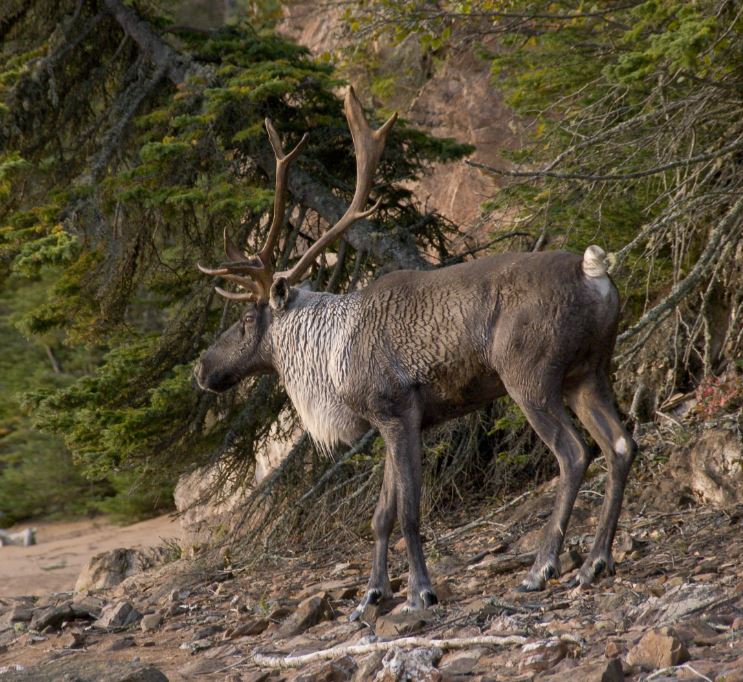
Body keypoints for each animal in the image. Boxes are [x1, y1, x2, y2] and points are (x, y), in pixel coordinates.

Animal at [194, 87, 637, 617]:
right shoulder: (396, 421)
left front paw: (419, 592)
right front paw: (371, 594)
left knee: (574, 454)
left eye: (245, 321)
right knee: (621, 446)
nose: (201, 368)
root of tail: (596, 273)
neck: (328, 355)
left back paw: (541, 568)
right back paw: (595, 562)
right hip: (588, 373)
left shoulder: (396, 410)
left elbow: (408, 512)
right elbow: (381, 515)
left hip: (530, 379)